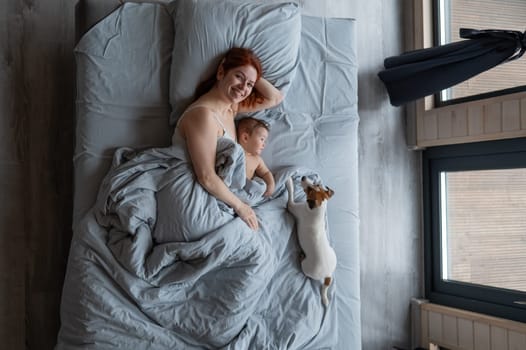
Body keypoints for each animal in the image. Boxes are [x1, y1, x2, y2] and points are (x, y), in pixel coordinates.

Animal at [288, 176, 338, 304]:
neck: (318, 211)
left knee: (302, 265)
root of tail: (328, 274)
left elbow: (290, 194)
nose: (303, 177)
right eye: (317, 184)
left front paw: (289, 183)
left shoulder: (292, 206)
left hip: (307, 267)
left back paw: (300, 256)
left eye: (310, 189)